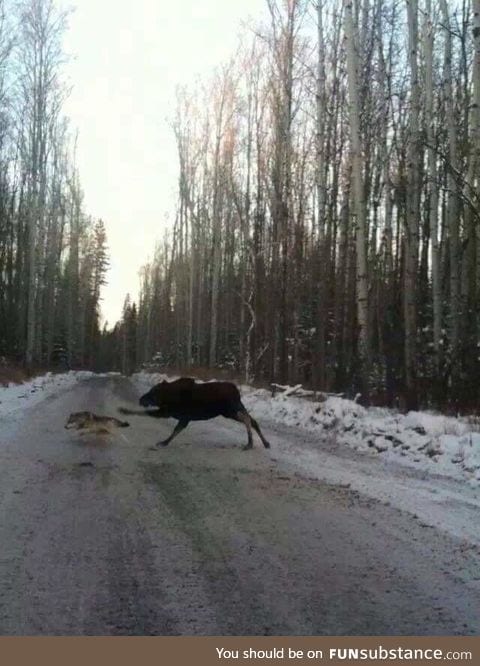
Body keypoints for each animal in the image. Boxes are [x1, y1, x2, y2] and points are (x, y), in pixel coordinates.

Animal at [120, 376, 270, 448]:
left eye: (153, 392)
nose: (141, 399)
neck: (168, 396)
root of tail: (237, 391)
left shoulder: (169, 413)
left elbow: (145, 413)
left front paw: (124, 411)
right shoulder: (183, 418)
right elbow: (176, 431)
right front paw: (165, 442)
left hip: (230, 410)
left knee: (248, 419)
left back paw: (250, 443)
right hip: (230, 411)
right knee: (253, 420)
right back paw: (264, 443)